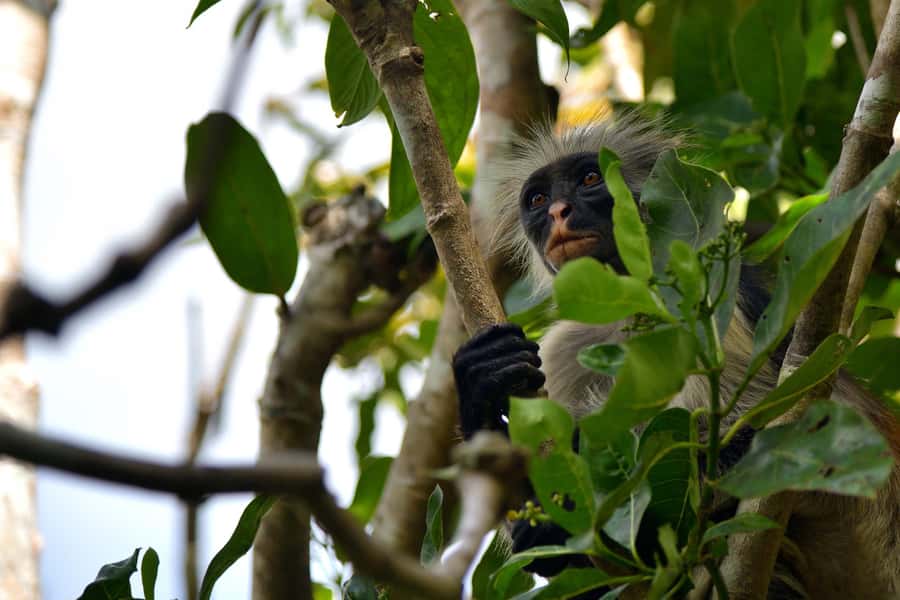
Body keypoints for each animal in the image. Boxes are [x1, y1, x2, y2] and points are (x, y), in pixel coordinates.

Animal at [452, 115, 900, 599]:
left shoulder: (713, 295)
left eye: (589, 179)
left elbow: (753, 422)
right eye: (537, 199)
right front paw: (480, 384)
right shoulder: (564, 345)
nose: (557, 212)